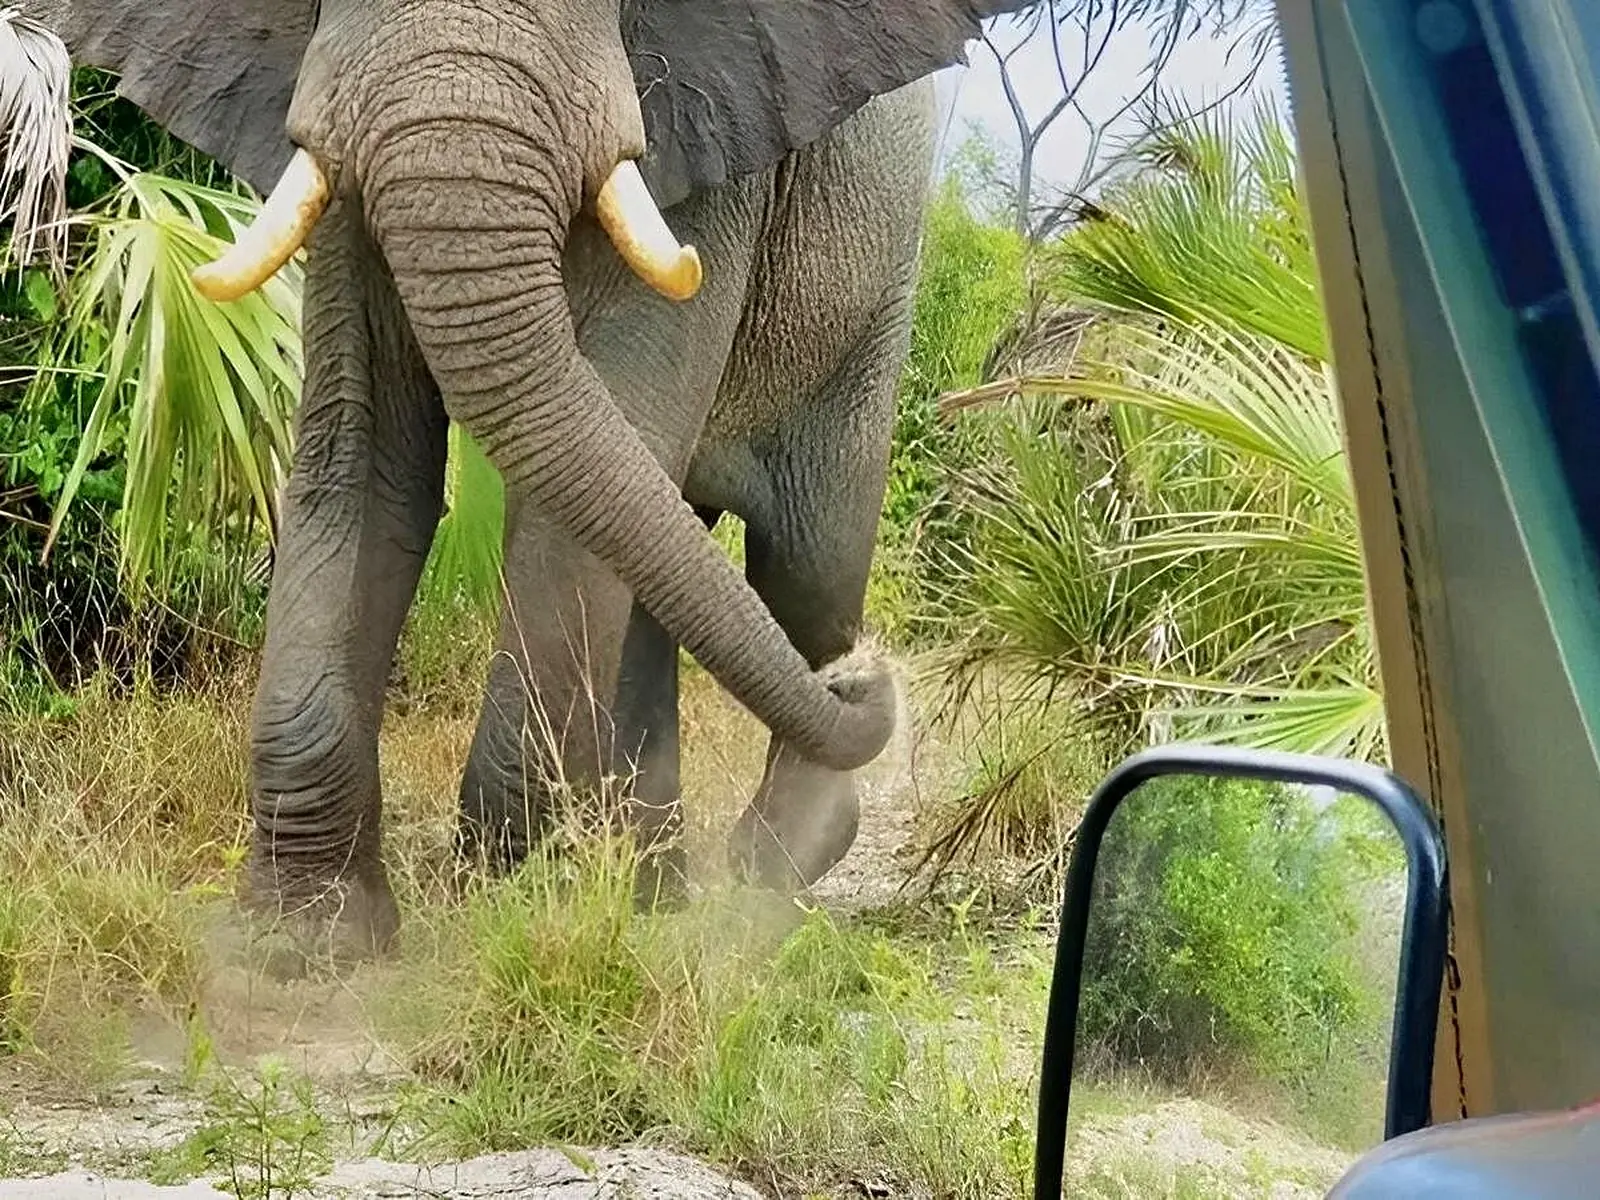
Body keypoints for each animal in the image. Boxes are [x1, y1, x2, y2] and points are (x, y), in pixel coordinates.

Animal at [17, 0, 1035, 959]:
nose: (869, 679)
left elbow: (577, 486)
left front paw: (498, 916)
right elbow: (360, 464)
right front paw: (305, 942)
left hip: (869, 304)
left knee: (804, 572)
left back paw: (766, 872)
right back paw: (655, 892)